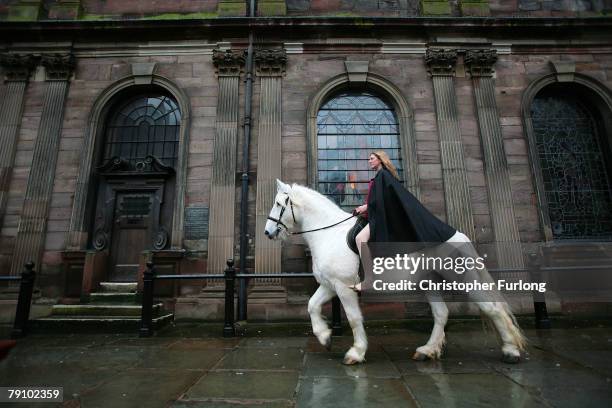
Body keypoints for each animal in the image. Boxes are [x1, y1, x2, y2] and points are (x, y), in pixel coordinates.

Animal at [262, 180, 524, 364]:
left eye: (278, 204)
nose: (267, 232)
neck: (328, 233)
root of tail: (457, 235)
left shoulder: (344, 288)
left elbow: (354, 318)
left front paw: (356, 352)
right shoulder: (330, 285)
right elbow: (312, 306)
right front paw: (324, 336)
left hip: (462, 279)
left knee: (492, 308)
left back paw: (511, 350)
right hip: (430, 284)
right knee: (441, 314)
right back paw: (428, 350)